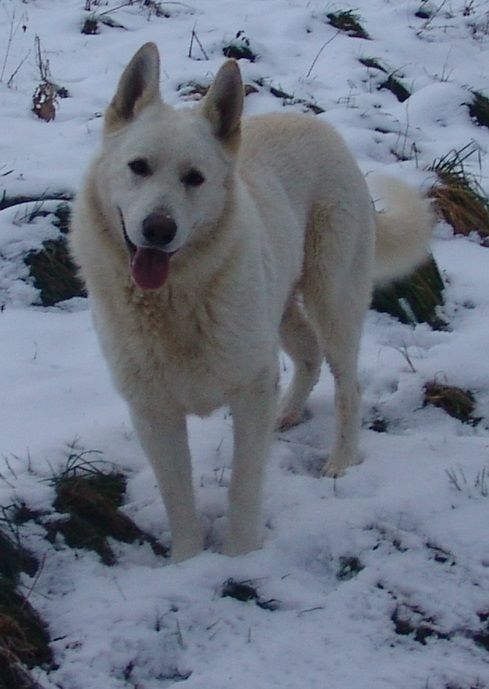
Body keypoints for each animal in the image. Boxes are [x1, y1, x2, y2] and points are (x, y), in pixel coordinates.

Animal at [70, 43, 433, 561]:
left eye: (194, 178)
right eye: (138, 167)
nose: (158, 230)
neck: (174, 301)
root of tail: (320, 126)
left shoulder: (250, 390)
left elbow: (243, 483)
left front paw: (240, 555)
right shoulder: (153, 413)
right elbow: (177, 499)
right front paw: (188, 563)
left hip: (332, 298)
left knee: (348, 386)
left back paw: (341, 460)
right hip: (277, 308)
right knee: (308, 354)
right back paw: (287, 412)